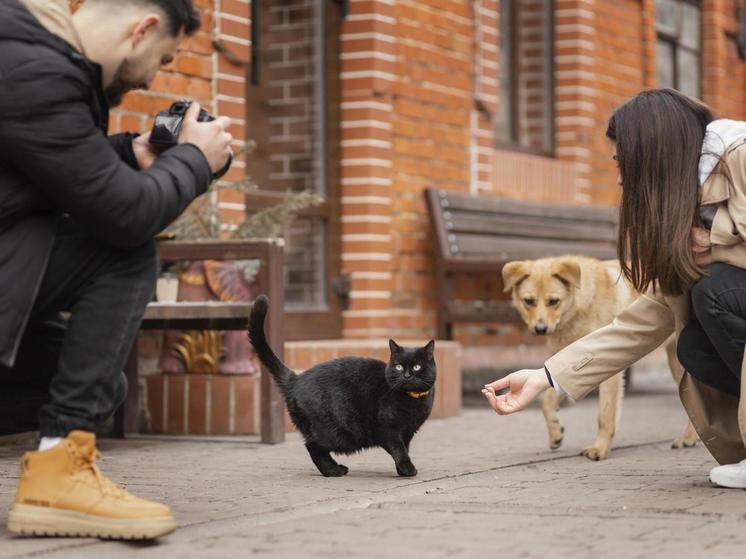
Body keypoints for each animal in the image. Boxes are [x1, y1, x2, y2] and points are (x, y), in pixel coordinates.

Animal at [250, 296, 436, 480]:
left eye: (417, 367)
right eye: (398, 366)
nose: (407, 375)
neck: (413, 399)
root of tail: (296, 379)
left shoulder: (408, 432)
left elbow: (405, 449)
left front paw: (401, 470)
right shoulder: (388, 430)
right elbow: (399, 450)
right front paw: (407, 469)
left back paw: (337, 468)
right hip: (338, 434)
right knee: (313, 446)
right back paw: (332, 471)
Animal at [500, 256, 696, 462]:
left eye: (553, 301)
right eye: (528, 301)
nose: (540, 329)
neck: (581, 305)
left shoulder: (609, 372)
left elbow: (605, 414)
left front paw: (599, 448)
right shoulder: (571, 365)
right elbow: (546, 400)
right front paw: (555, 432)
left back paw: (690, 438)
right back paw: (691, 437)